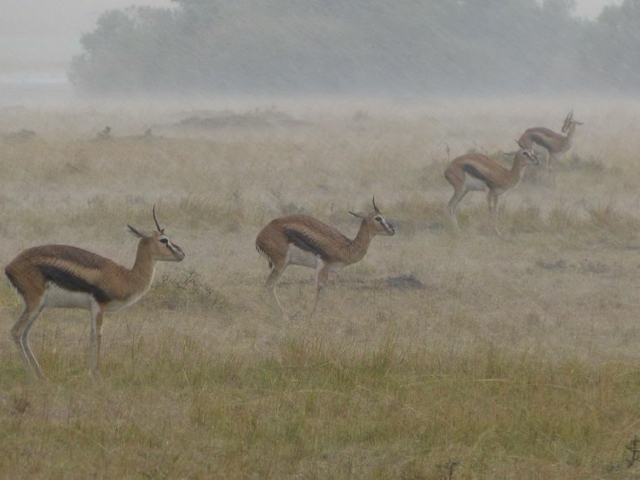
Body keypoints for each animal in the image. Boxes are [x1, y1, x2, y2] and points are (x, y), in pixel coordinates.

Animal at [5, 206, 185, 378]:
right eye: (164, 239)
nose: (182, 254)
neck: (125, 277)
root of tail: (10, 266)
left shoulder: (93, 308)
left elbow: (91, 335)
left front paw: (89, 372)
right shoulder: (99, 305)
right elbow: (98, 335)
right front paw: (97, 374)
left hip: (39, 307)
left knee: (25, 334)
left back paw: (40, 374)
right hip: (35, 303)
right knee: (16, 331)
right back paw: (32, 376)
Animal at [255, 198, 395, 319]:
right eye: (378, 218)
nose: (392, 230)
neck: (347, 246)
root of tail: (260, 236)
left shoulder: (326, 270)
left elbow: (324, 291)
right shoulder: (323, 266)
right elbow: (320, 289)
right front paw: (314, 316)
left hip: (283, 265)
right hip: (280, 264)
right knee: (269, 285)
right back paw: (283, 316)